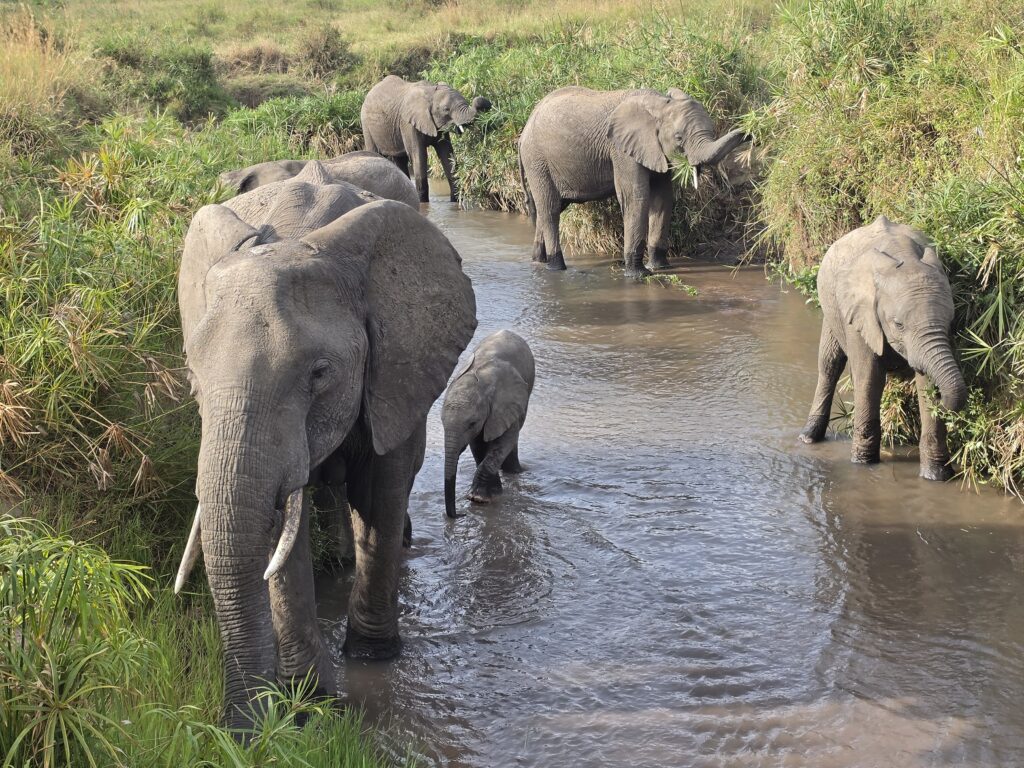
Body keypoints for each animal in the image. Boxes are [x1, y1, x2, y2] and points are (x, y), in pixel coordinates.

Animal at [173, 197, 477, 731]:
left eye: (319, 373)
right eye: (192, 372)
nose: (240, 734)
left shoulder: (393, 368)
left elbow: (379, 494)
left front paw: (373, 655)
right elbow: (281, 535)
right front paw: (307, 701)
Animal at [360, 75, 492, 203]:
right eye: (446, 109)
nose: (485, 102)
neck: (431, 92)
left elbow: (447, 154)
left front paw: (455, 201)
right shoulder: (408, 123)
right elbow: (418, 155)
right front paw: (423, 202)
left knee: (400, 160)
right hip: (366, 124)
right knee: (375, 151)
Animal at [442, 330, 535, 518]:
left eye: (472, 423)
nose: (460, 515)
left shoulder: (506, 404)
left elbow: (504, 441)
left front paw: (479, 498)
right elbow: (478, 445)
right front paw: (480, 496)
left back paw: (515, 472)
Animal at [518, 86, 750, 277]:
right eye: (679, 138)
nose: (750, 133)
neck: (660, 104)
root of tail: (524, 129)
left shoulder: (655, 150)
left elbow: (663, 199)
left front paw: (661, 267)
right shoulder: (621, 150)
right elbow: (636, 197)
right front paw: (638, 274)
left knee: (552, 208)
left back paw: (539, 262)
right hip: (537, 161)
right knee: (549, 208)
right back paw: (556, 267)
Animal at [799, 215, 967, 480]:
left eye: (951, 320)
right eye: (898, 324)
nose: (943, 403)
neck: (904, 256)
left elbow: (925, 382)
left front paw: (937, 476)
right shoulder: (860, 314)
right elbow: (869, 378)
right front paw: (862, 463)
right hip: (832, 308)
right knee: (829, 364)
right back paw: (808, 437)